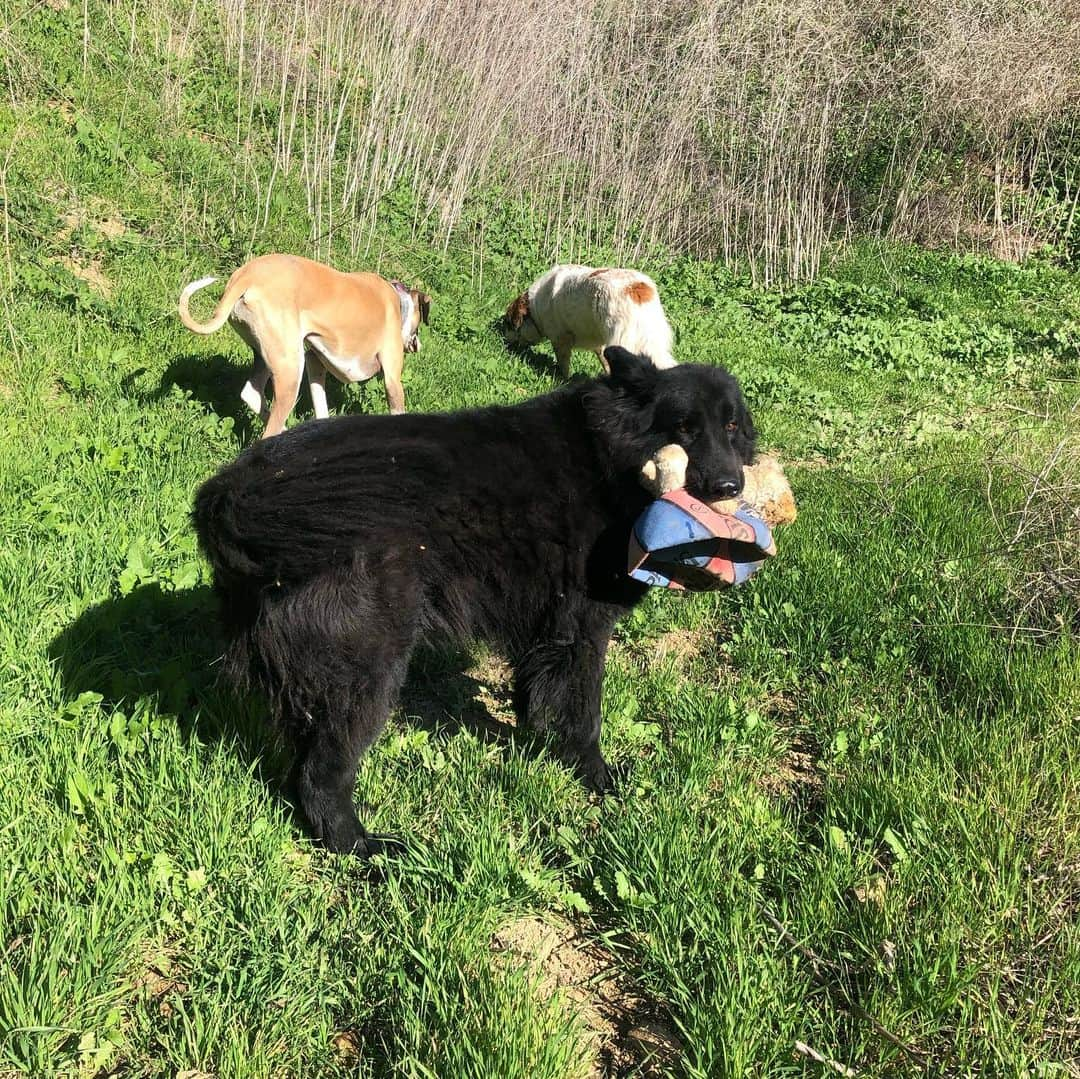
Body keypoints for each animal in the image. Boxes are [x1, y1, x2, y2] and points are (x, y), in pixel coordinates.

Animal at [178, 251, 429, 434]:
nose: (418, 345)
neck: (397, 301)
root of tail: (246, 276)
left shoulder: (315, 363)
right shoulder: (392, 380)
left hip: (268, 353)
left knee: (252, 394)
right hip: (290, 369)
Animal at [192, 349, 751, 855]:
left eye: (730, 426)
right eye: (684, 428)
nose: (730, 486)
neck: (609, 455)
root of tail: (230, 496)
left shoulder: (545, 626)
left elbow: (535, 696)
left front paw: (539, 749)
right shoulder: (583, 629)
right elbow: (585, 712)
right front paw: (598, 778)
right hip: (369, 669)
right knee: (320, 774)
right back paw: (363, 846)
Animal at [498, 263, 669, 378]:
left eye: (508, 323)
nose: (502, 341)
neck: (535, 307)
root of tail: (636, 288)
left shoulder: (561, 340)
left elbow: (563, 364)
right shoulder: (599, 344)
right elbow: (604, 360)